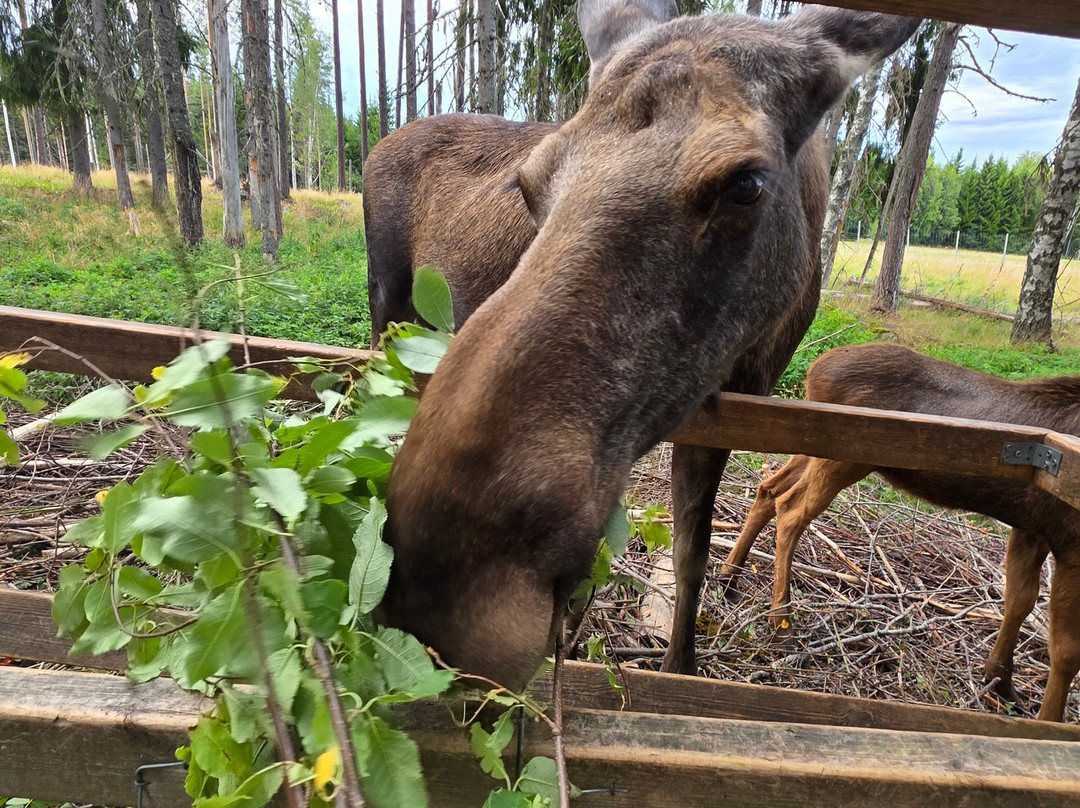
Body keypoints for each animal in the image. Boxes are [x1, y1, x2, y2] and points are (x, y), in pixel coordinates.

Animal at [370, 1, 920, 691]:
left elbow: (691, 554)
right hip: (384, 299)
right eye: (529, 183)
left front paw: (680, 666)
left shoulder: (721, 410)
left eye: (747, 184)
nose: (439, 575)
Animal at [719, 342, 1080, 721]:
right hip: (845, 459)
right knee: (789, 510)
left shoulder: (1032, 527)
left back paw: (730, 576)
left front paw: (1001, 683)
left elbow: (1018, 602)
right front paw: (1049, 721)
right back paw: (781, 621)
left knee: (768, 489)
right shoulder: (1071, 542)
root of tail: (815, 369)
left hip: (817, 449)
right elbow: (1066, 650)